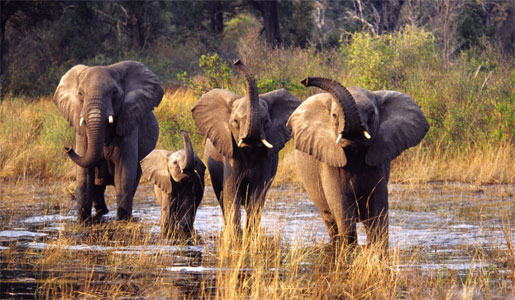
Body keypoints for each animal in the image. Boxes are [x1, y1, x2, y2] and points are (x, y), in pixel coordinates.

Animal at [54, 59, 163, 221]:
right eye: (80, 94)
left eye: (114, 93)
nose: (67, 148)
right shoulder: (82, 133)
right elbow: (84, 175)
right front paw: (83, 220)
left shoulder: (128, 123)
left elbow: (124, 172)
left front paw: (122, 219)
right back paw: (102, 211)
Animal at [191, 59, 300, 232]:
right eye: (235, 122)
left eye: (266, 122)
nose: (237, 61)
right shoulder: (230, 156)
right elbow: (231, 193)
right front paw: (236, 235)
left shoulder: (266, 161)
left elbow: (257, 195)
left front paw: (249, 234)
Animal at [288, 77, 430, 248]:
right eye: (334, 115)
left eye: (372, 113)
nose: (305, 80)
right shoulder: (330, 164)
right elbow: (344, 213)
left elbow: (378, 213)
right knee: (331, 221)